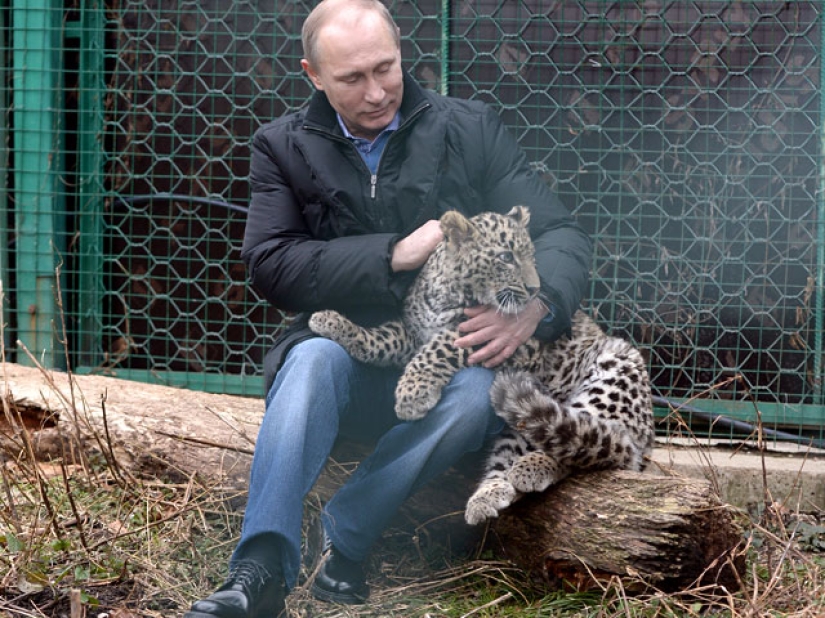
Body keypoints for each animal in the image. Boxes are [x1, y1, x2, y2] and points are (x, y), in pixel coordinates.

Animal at [308, 206, 655, 525]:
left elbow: (444, 345)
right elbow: (381, 338)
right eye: (506, 257)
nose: (534, 290)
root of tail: (647, 441)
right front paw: (332, 322)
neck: (449, 292)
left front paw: (412, 394)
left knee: (594, 447)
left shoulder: (510, 340)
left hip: (615, 370)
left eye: (531, 257)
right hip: (518, 419)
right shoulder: (411, 333)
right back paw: (489, 496)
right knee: (527, 449)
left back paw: (533, 467)